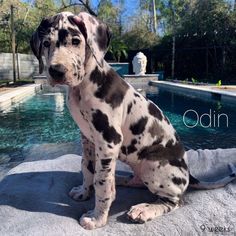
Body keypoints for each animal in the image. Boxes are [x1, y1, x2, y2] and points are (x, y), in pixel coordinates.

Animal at [30, 11, 236, 230]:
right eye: (46, 43)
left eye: (76, 41)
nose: (56, 71)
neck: (84, 84)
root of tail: (189, 175)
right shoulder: (87, 138)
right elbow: (87, 167)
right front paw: (84, 191)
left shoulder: (108, 140)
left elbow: (102, 184)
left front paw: (97, 218)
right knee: (132, 180)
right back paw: (120, 180)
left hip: (152, 165)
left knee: (174, 200)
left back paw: (145, 209)